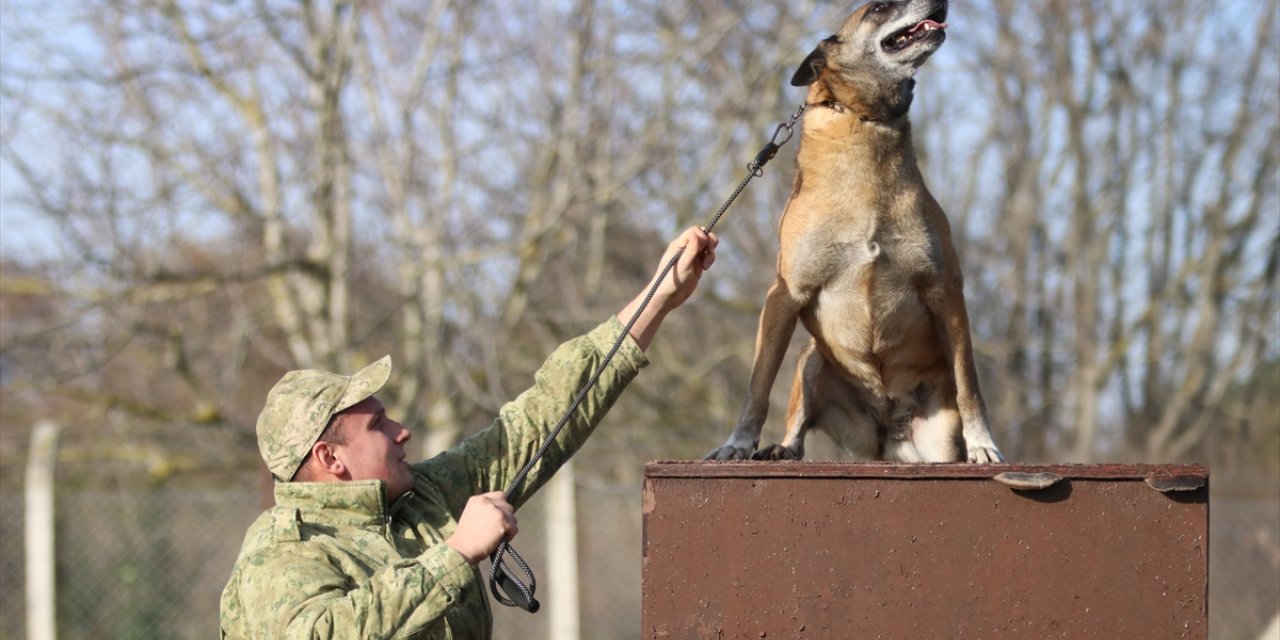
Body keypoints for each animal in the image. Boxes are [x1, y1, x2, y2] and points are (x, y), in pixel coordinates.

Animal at [711, 0, 998, 463]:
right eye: (879, 7)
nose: (942, 3)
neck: (867, 122)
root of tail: (886, 432)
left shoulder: (946, 291)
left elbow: (969, 383)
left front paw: (983, 444)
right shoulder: (783, 295)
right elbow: (758, 384)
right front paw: (737, 443)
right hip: (810, 359)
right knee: (798, 427)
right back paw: (781, 449)